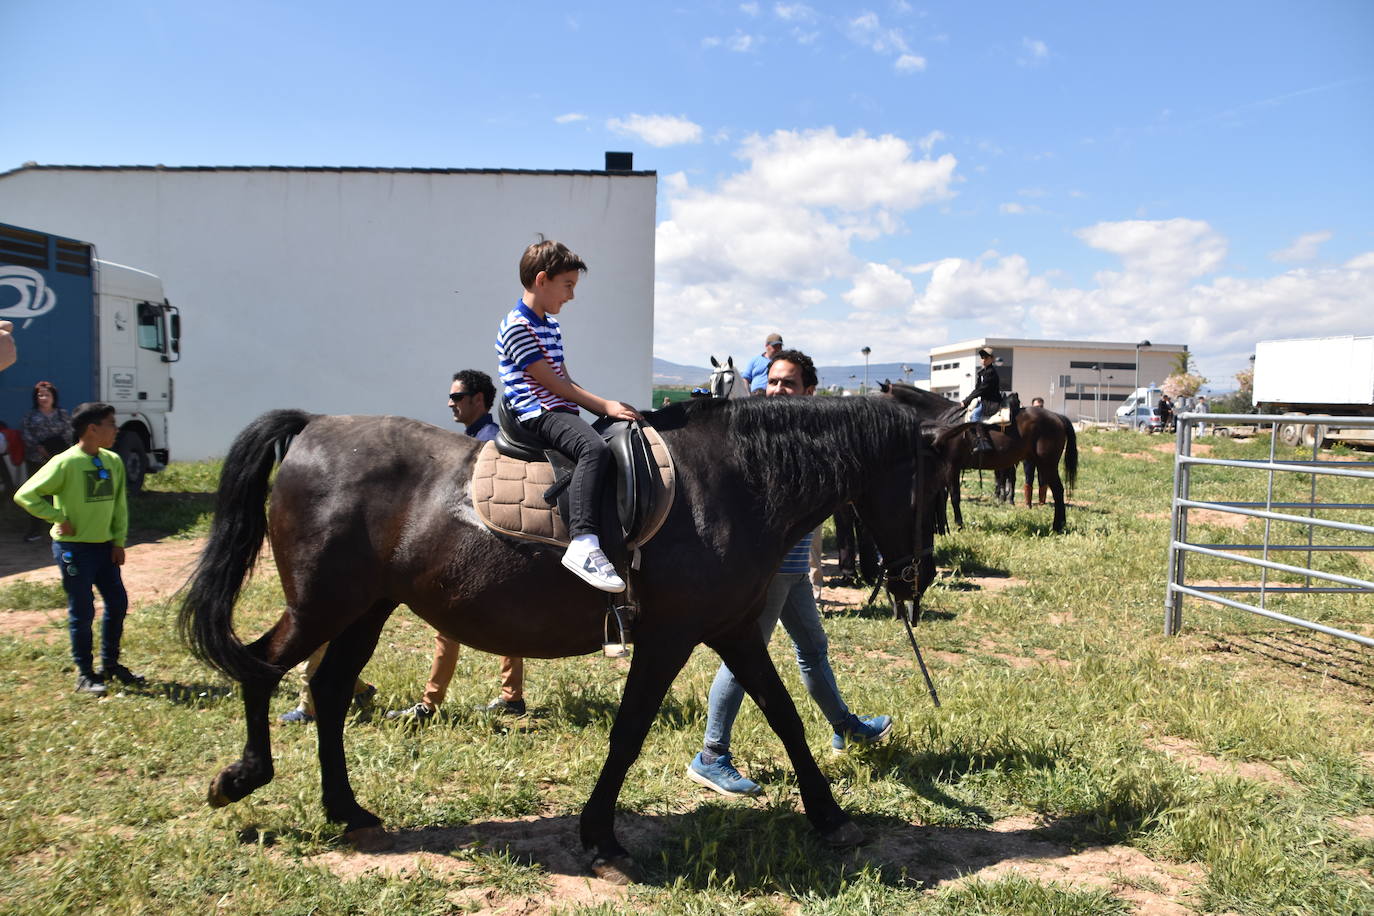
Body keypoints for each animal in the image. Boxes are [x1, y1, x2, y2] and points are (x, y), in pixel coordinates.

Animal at [177, 398, 945, 884]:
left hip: (366, 608)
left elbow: (785, 716)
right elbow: (629, 732)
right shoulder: (669, 636)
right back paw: (244, 777)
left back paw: (348, 811)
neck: (728, 484)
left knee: (329, 690)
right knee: (264, 668)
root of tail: (314, 428)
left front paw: (830, 817)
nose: (919, 574)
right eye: (933, 486)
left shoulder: (731, 631)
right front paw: (602, 839)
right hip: (323, 605)